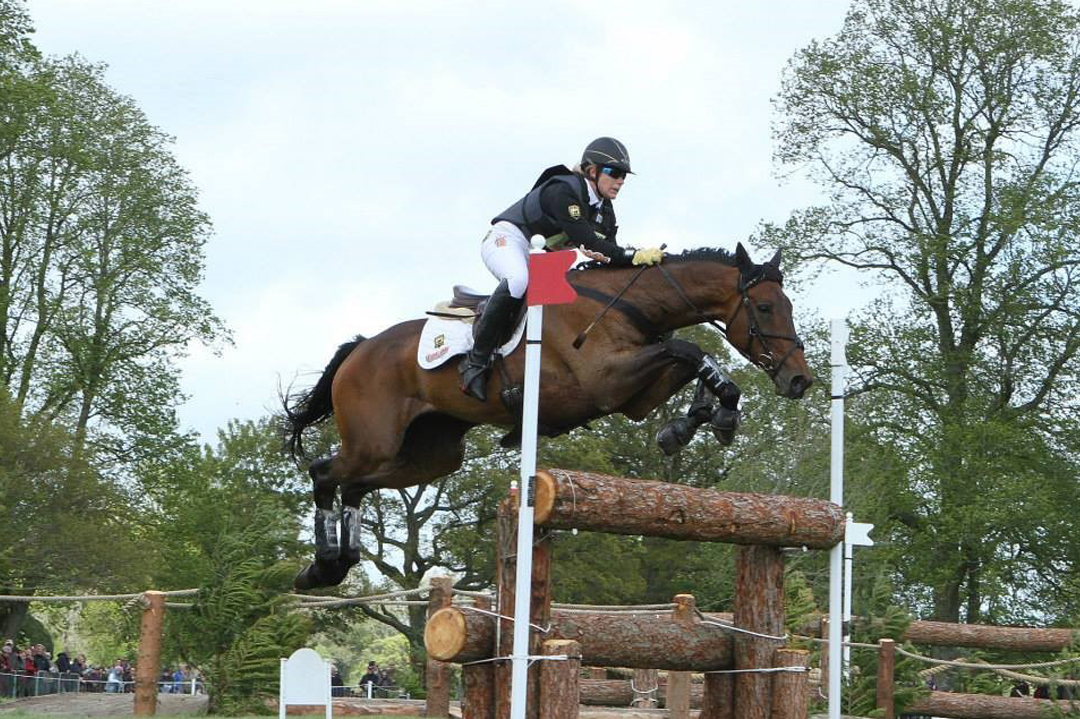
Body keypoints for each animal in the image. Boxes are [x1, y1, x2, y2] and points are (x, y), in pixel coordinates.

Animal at [285, 240, 812, 587]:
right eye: (766, 308)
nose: (799, 381)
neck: (627, 304)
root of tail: (359, 348)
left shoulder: (633, 397)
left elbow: (690, 358)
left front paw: (693, 422)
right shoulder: (607, 380)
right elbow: (689, 348)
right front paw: (711, 415)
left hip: (429, 456)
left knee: (354, 485)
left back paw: (334, 564)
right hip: (373, 441)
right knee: (324, 472)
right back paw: (323, 564)